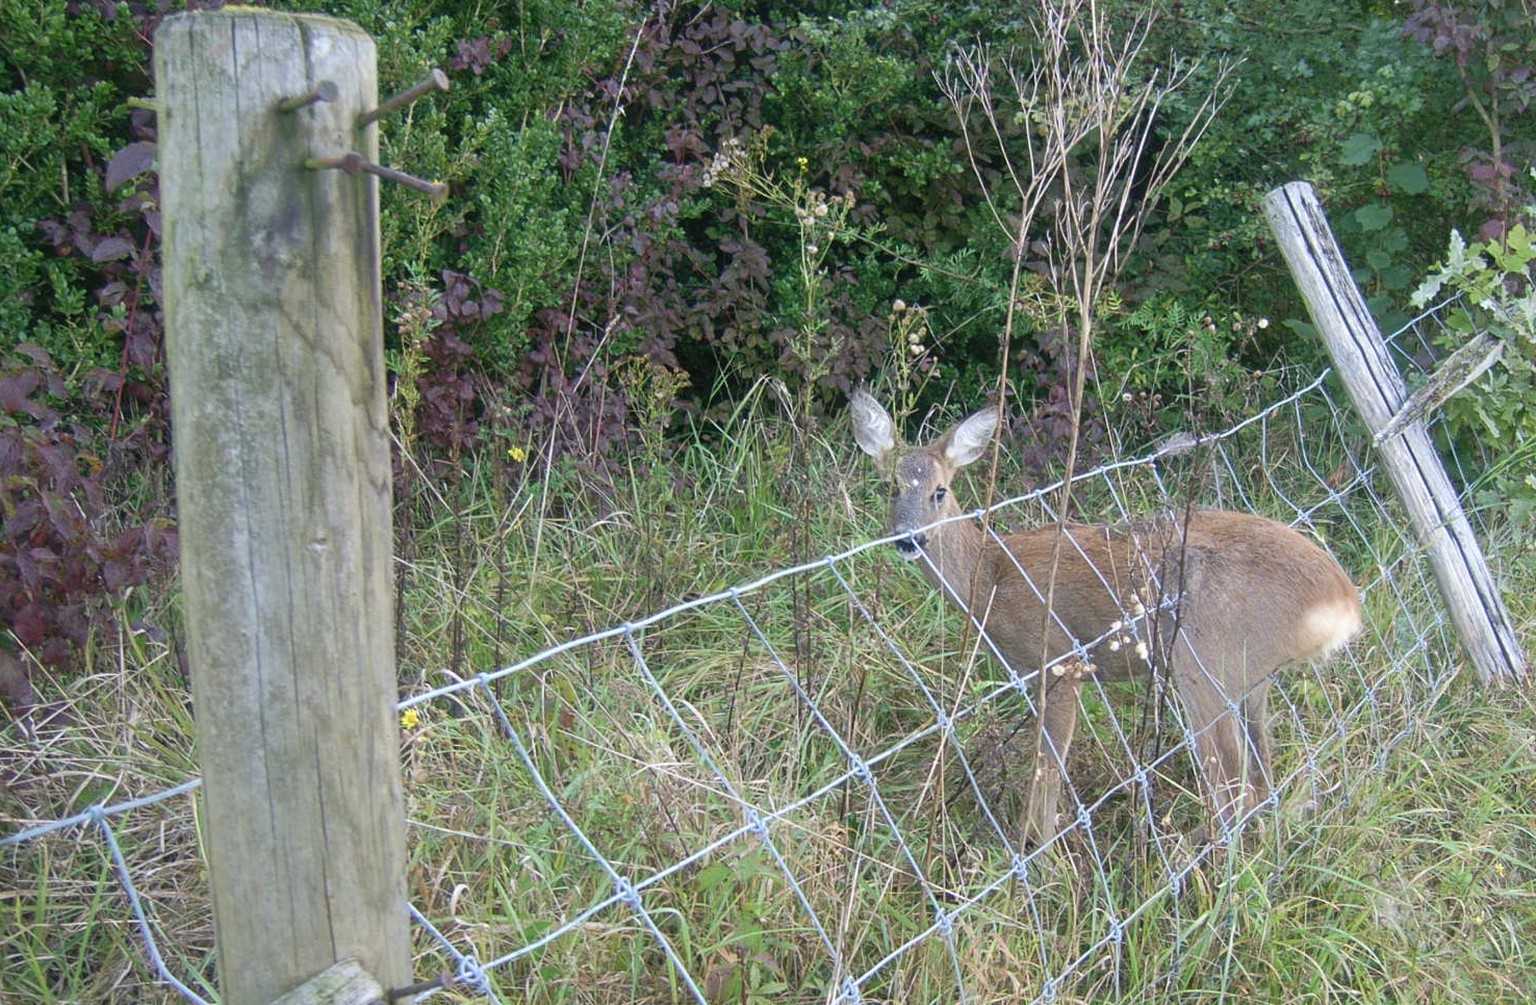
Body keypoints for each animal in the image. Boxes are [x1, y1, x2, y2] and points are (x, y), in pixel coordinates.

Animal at [847, 390, 1363, 848]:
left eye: (940, 491)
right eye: (890, 487)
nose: (908, 539)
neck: (991, 576)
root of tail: (1344, 603)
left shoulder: (1060, 661)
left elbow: (1047, 767)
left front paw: (1037, 852)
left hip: (1203, 659)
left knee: (1233, 790)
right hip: (1249, 676)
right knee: (1262, 778)